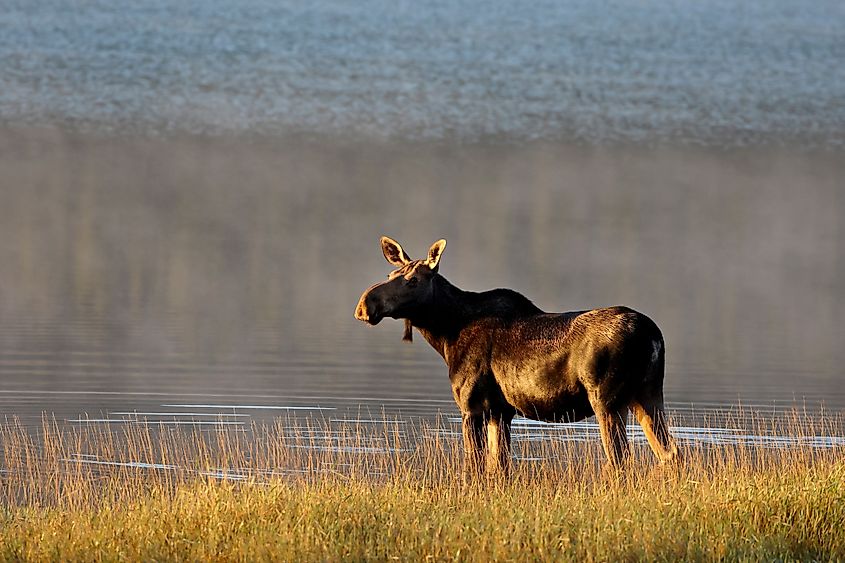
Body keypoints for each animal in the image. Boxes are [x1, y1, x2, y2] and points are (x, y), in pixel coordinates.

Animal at [355, 236, 679, 476]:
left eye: (412, 280)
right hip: (647, 394)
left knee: (620, 458)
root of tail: (654, 337)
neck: (446, 334)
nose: (364, 305)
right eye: (390, 274)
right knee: (669, 452)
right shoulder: (501, 410)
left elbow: (475, 464)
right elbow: (499, 465)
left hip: (607, 400)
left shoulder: (472, 405)